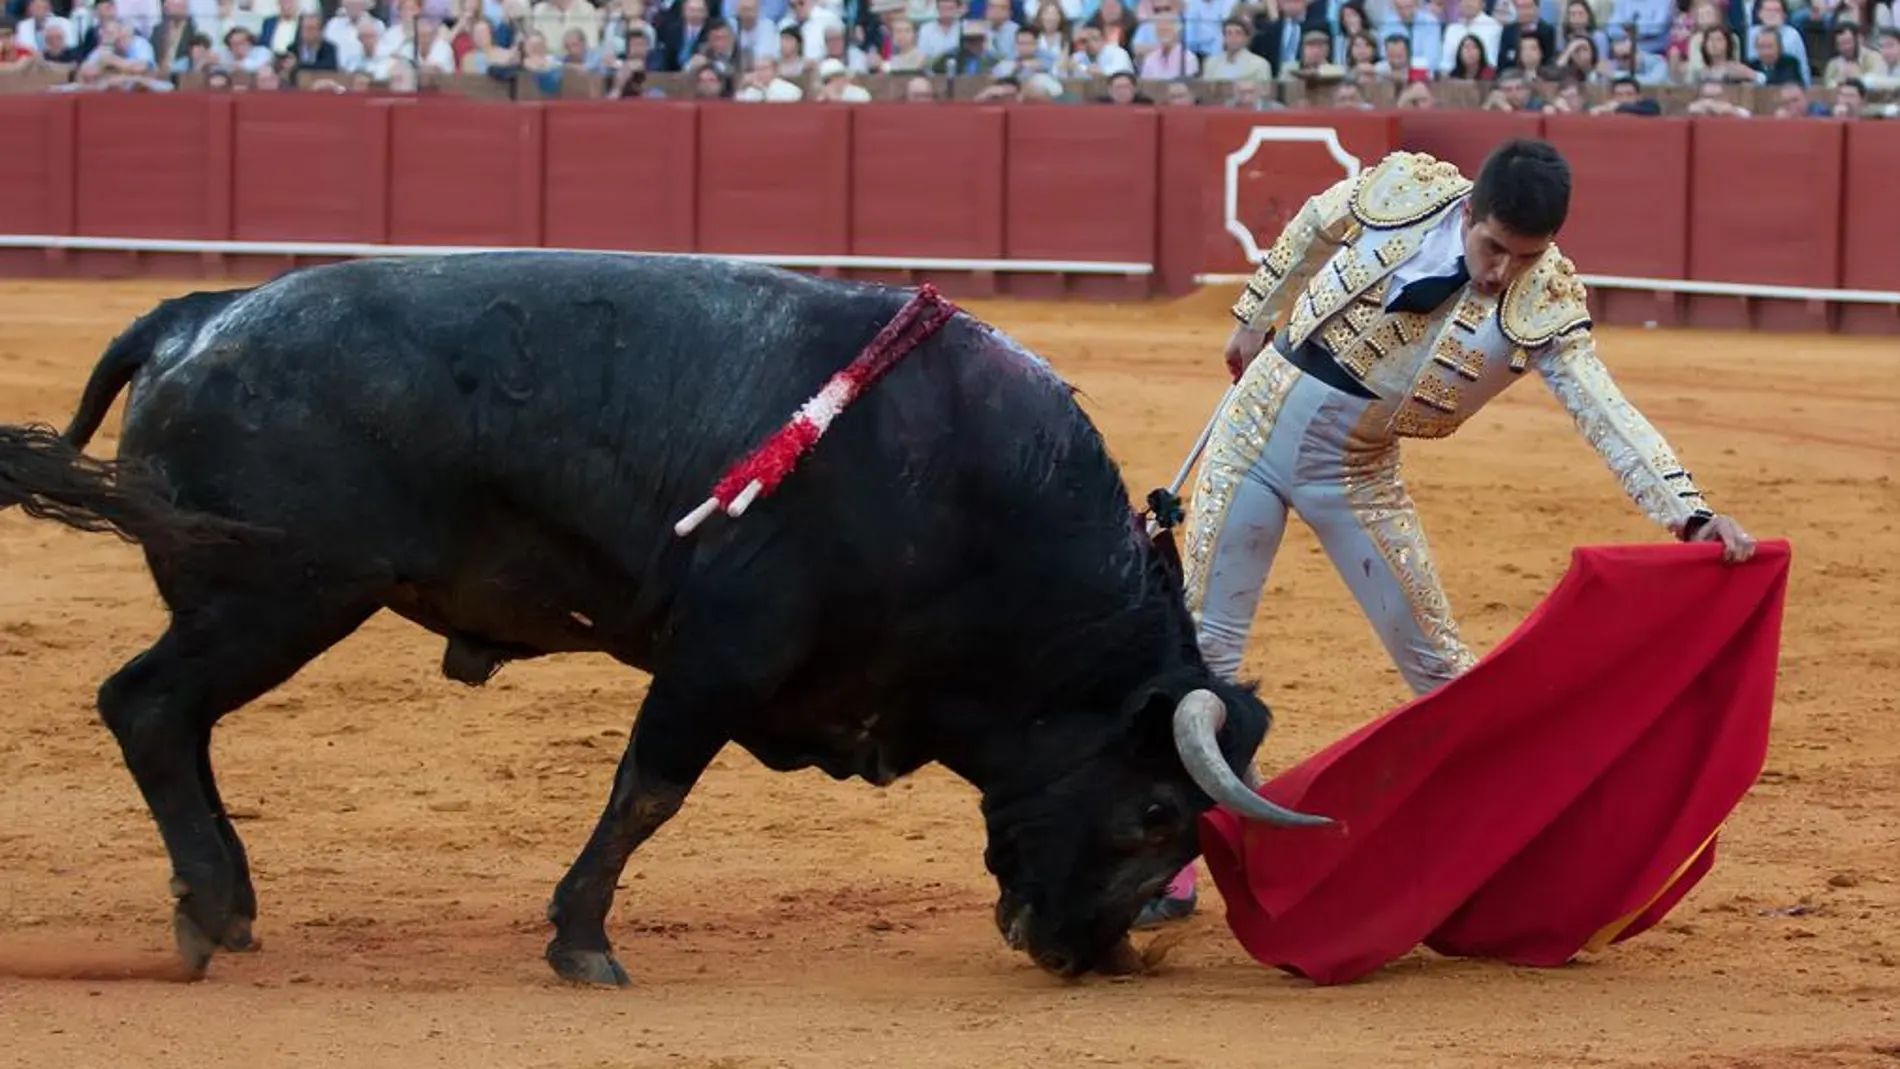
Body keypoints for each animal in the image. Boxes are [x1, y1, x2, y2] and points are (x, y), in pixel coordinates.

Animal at [0, 254, 1330, 994]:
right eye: (1155, 812)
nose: (1086, 955)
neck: (974, 504)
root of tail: (196, 315)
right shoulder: (719, 659)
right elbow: (648, 791)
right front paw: (582, 943)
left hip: (264, 603)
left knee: (172, 719)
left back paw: (225, 904)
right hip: (279, 595)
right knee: (148, 706)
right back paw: (207, 911)